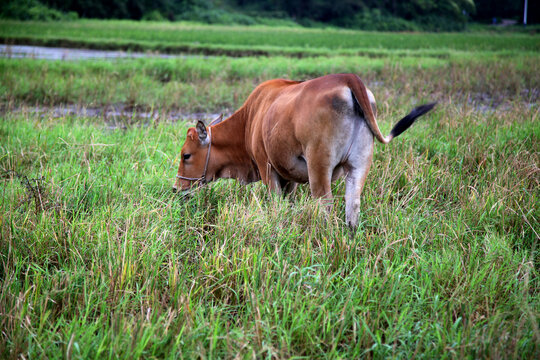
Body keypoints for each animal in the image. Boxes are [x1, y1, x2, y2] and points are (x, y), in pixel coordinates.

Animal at [175, 73, 436, 228]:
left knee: (326, 205)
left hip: (318, 167)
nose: (177, 188)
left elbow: (276, 205)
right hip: (358, 166)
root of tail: (347, 78)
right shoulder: (288, 176)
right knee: (352, 207)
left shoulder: (268, 169)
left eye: (186, 155)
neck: (251, 118)